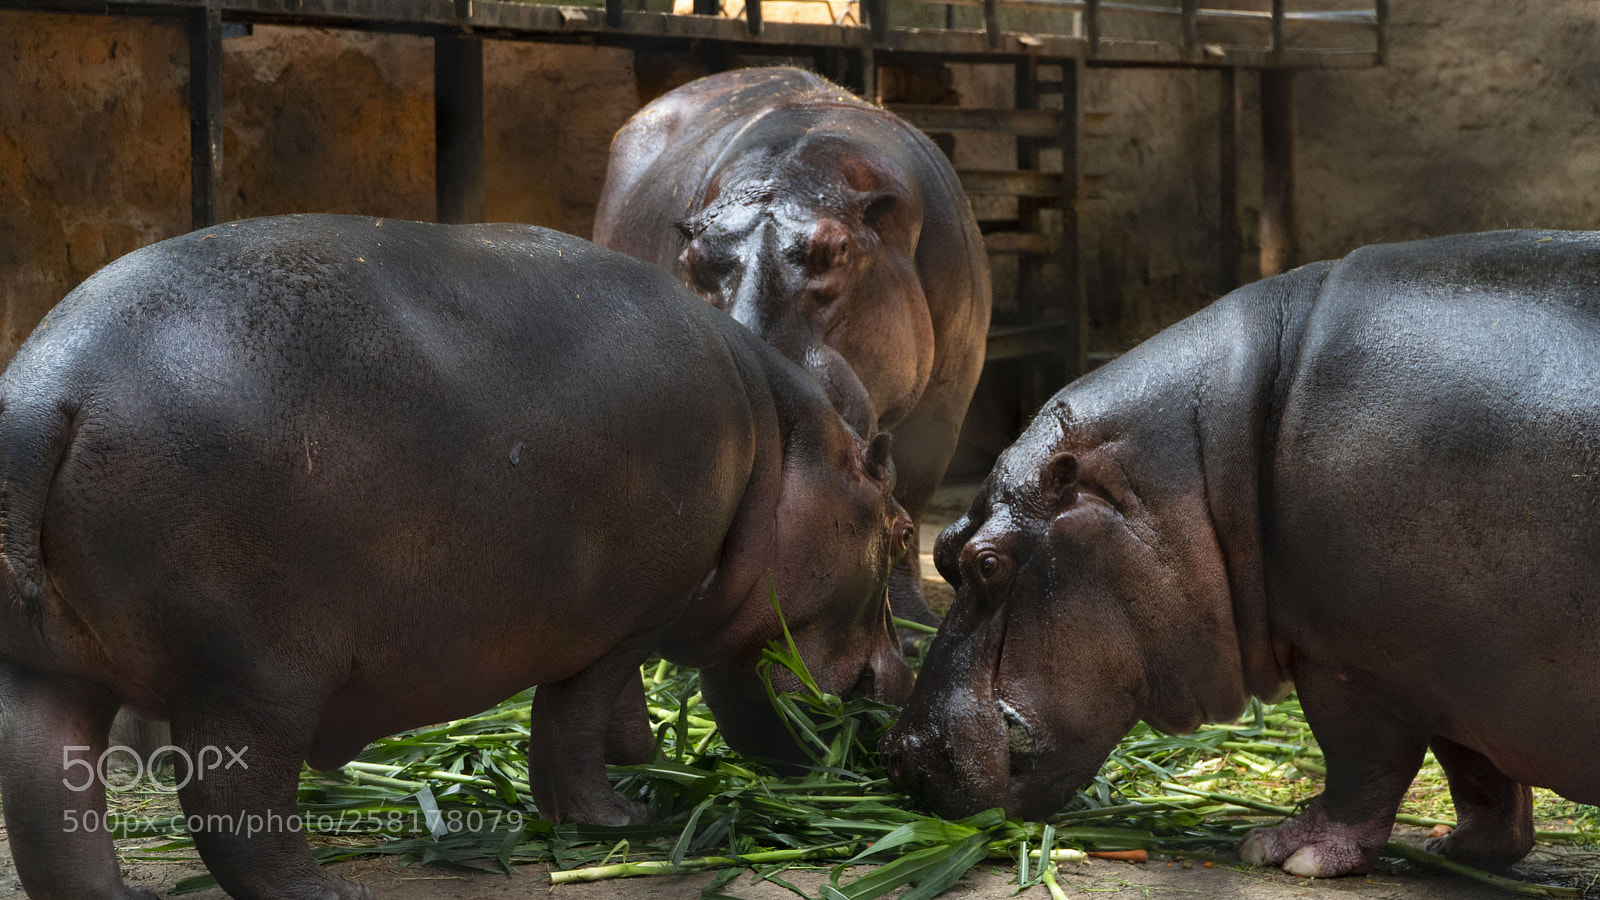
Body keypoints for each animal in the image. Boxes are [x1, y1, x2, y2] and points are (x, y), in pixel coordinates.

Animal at [0, 214, 913, 900]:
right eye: (901, 531)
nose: (897, 692)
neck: (782, 451)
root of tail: (47, 394)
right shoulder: (626, 618)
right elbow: (574, 721)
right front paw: (621, 820)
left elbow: (615, 711)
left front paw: (647, 764)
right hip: (252, 673)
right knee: (233, 798)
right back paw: (331, 891)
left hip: (50, 669)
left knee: (48, 795)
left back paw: (121, 895)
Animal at [594, 67, 992, 631]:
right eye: (690, 256)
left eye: (838, 249)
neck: (795, 169)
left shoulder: (942, 409)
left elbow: (911, 494)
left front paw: (916, 628)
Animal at [882, 230, 1600, 878]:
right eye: (940, 548)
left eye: (987, 563)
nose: (896, 749)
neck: (1206, 461)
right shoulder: (1446, 668)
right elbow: (1477, 770)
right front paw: (1456, 849)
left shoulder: (1347, 660)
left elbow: (1363, 761)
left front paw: (1287, 851)